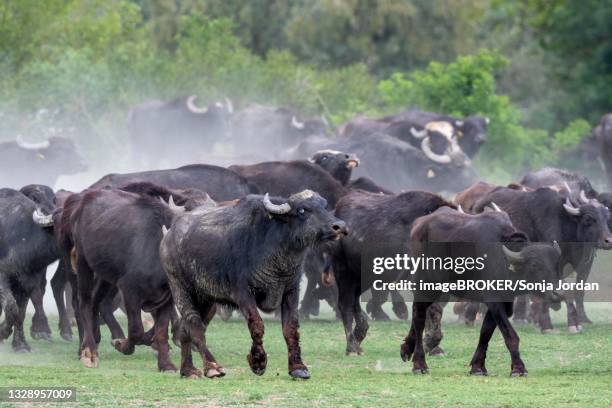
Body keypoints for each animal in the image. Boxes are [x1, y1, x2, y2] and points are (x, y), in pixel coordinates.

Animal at [160, 190, 346, 380]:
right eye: (302, 210)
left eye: (324, 206)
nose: (340, 226)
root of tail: (169, 235)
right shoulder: (243, 293)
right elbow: (256, 324)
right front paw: (258, 362)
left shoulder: (291, 291)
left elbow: (291, 328)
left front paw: (298, 367)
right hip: (180, 288)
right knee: (195, 325)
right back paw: (212, 367)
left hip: (206, 298)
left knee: (186, 329)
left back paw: (188, 370)